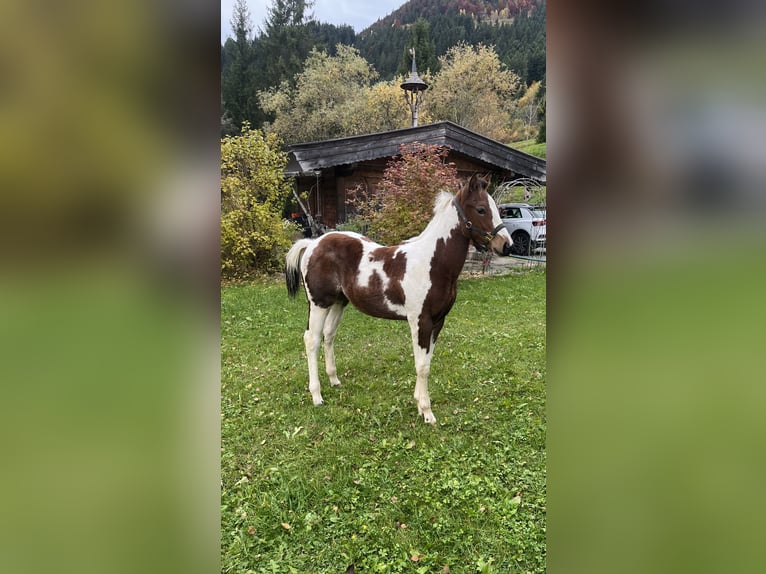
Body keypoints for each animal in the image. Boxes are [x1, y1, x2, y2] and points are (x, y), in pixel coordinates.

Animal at [285, 174, 512, 424]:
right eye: (481, 209)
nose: (506, 245)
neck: (433, 263)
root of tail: (312, 244)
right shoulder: (420, 321)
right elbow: (422, 365)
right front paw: (427, 412)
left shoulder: (438, 321)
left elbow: (427, 362)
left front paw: (419, 403)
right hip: (319, 303)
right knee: (312, 340)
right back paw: (317, 396)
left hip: (338, 302)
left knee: (328, 336)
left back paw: (334, 380)